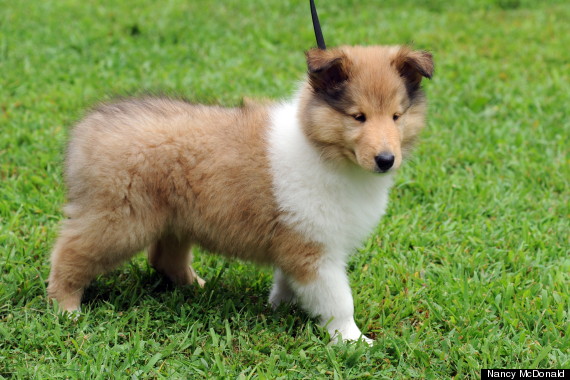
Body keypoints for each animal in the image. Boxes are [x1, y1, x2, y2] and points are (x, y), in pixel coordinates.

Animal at [48, 46, 430, 342]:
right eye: (358, 116)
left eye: (397, 116)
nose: (386, 160)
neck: (322, 150)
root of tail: (87, 129)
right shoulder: (315, 250)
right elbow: (339, 300)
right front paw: (354, 341)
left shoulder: (297, 240)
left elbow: (287, 281)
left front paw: (279, 307)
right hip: (119, 219)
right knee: (69, 253)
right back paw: (66, 309)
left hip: (174, 218)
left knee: (164, 258)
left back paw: (196, 287)